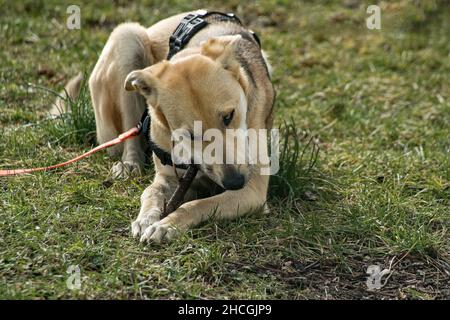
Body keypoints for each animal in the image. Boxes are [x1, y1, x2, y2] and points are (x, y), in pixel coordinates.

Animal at [54, 10, 276, 242]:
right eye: (189, 135)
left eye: (229, 116)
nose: (235, 182)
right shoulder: (168, 176)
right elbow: (151, 191)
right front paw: (146, 218)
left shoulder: (253, 190)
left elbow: (196, 204)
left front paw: (167, 224)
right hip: (127, 40)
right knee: (131, 135)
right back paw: (129, 164)